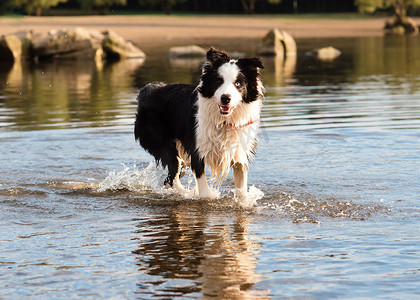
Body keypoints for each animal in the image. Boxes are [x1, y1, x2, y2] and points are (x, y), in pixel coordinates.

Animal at [135, 47, 264, 197]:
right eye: (219, 81)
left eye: (238, 83)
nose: (225, 98)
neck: (224, 121)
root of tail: (146, 89)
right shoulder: (197, 150)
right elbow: (204, 189)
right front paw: (205, 196)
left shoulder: (240, 154)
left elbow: (242, 190)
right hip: (163, 143)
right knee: (171, 176)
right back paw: (187, 193)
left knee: (170, 178)